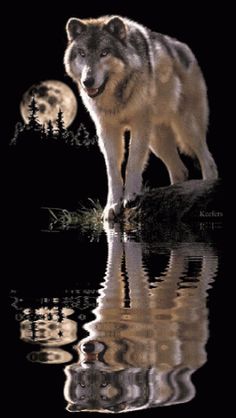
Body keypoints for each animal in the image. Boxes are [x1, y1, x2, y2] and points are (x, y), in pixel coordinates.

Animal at [64, 15, 218, 220]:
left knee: (207, 160)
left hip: (185, 129)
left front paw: (130, 196)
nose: (87, 81)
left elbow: (132, 163)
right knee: (180, 170)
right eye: (82, 53)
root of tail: (186, 49)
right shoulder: (107, 131)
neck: (116, 96)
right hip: (156, 140)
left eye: (104, 53)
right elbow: (112, 172)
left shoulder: (139, 125)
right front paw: (112, 206)